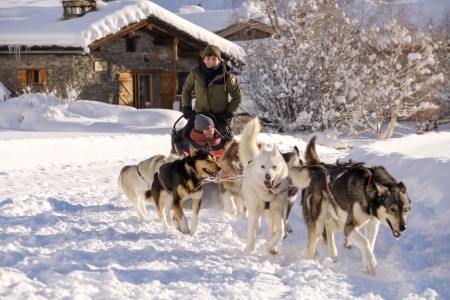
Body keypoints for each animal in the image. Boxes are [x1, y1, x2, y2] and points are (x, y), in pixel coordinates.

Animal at [239, 118, 292, 254]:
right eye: (263, 167)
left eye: (274, 167)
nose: (268, 176)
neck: (268, 193)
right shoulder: (254, 210)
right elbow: (250, 232)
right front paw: (250, 248)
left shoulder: (277, 211)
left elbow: (280, 232)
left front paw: (270, 245)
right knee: (257, 223)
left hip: (270, 213)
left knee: (271, 227)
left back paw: (272, 245)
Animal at [288, 136, 412, 274]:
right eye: (392, 209)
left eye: (406, 210)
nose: (403, 227)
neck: (367, 189)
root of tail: (320, 170)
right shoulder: (349, 226)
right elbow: (364, 241)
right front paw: (371, 263)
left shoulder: (372, 224)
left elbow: (369, 243)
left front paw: (369, 262)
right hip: (318, 223)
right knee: (311, 245)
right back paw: (311, 263)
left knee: (329, 230)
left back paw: (333, 254)